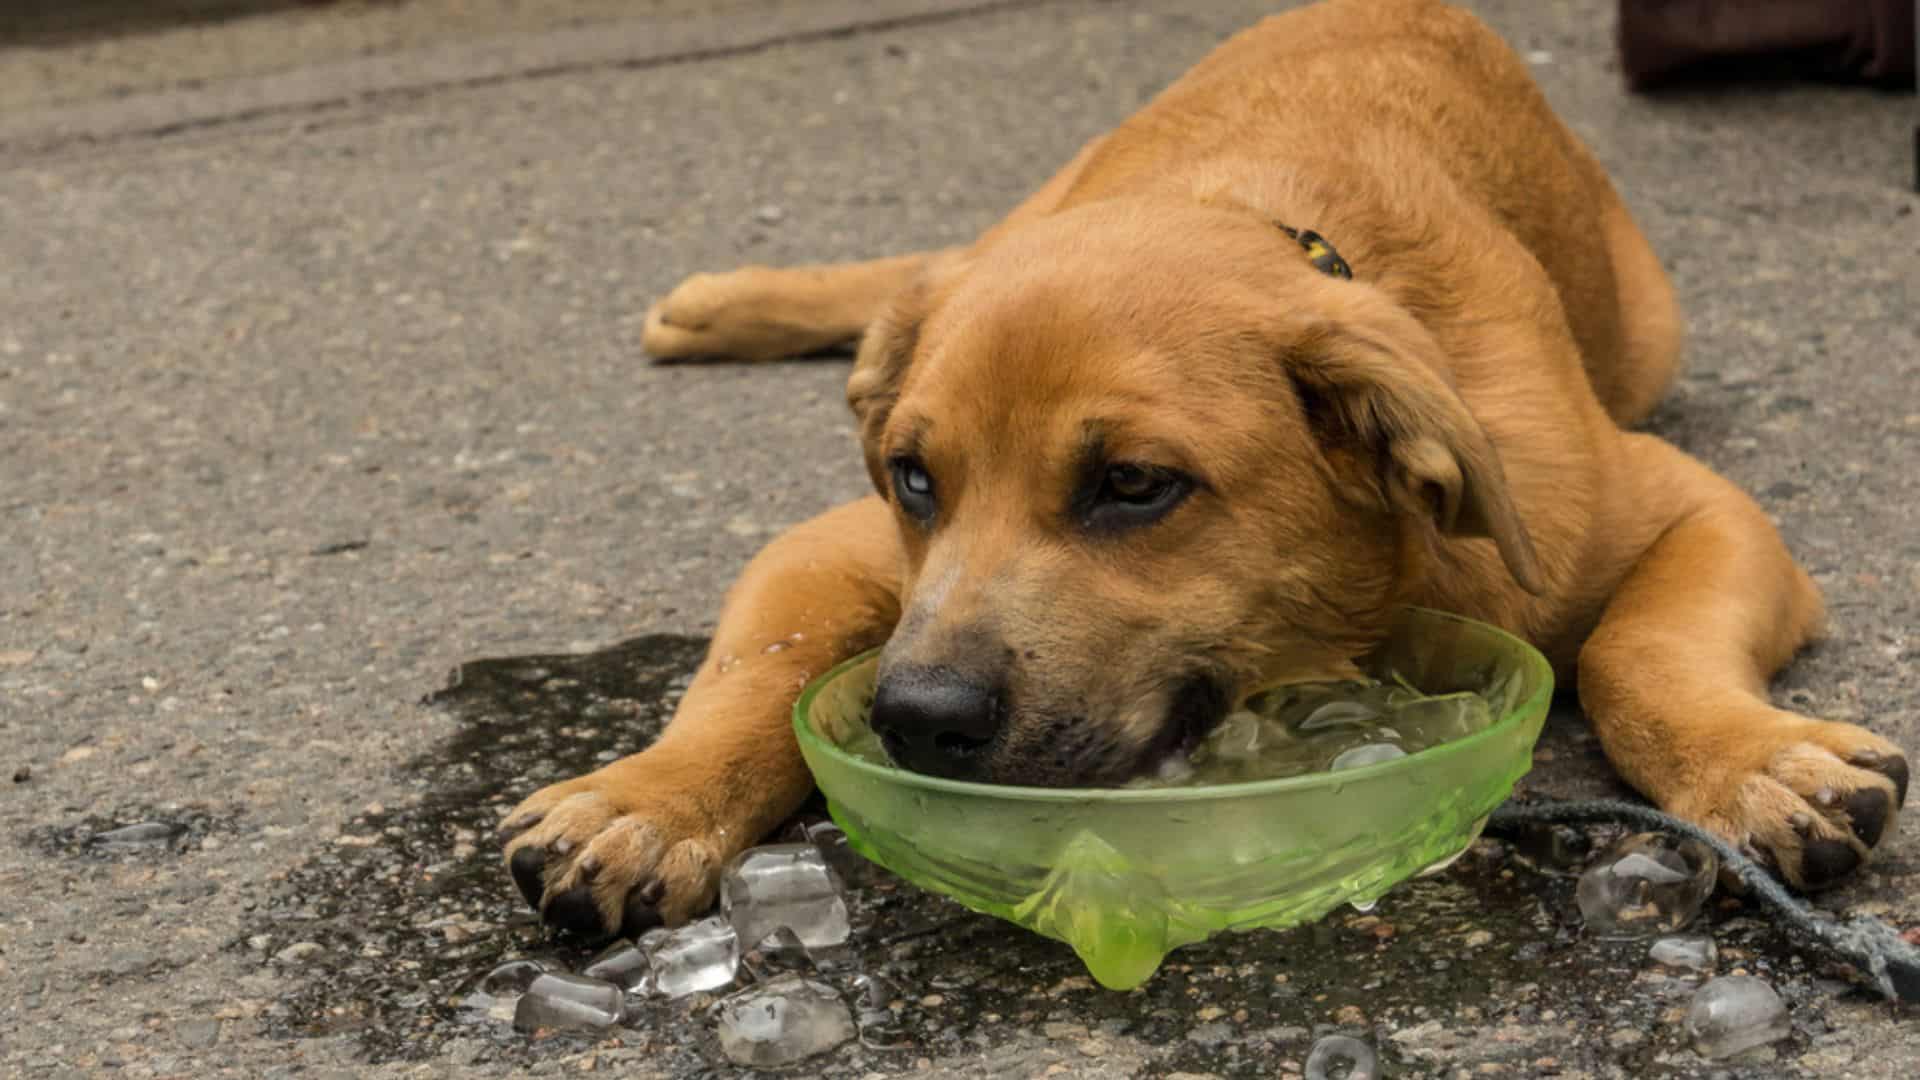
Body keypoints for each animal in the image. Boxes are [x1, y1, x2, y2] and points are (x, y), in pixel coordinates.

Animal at [495, 0, 1904, 933]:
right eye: (913, 480)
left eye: (1133, 485)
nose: (917, 724)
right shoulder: (830, 544)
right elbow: (751, 676)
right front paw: (646, 798)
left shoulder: (1690, 510)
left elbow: (1638, 649)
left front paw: (1747, 764)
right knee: (926, 266)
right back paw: (724, 303)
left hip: (1651, 328)